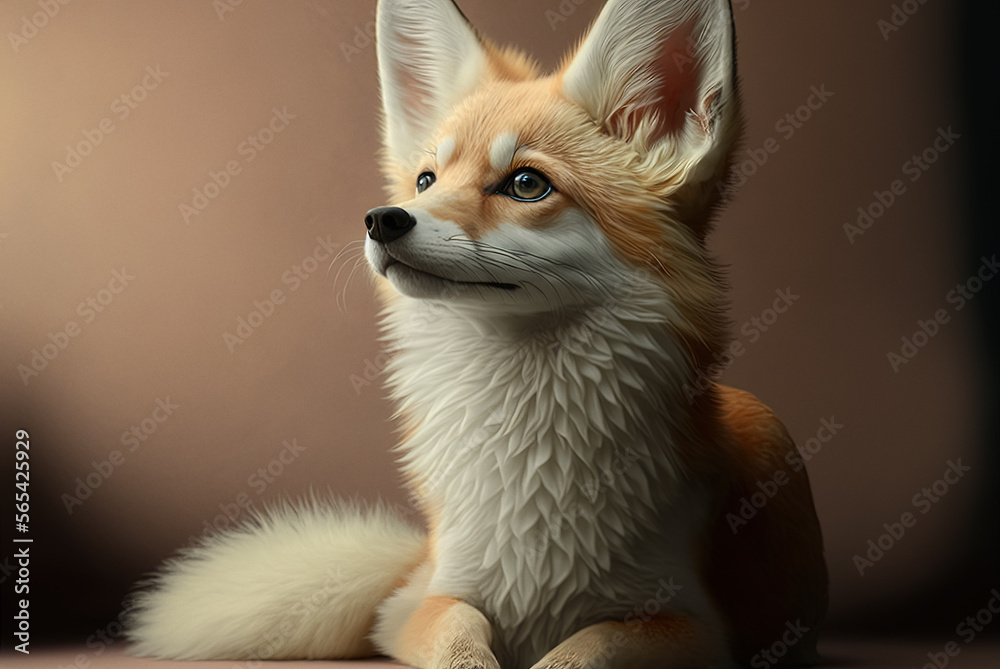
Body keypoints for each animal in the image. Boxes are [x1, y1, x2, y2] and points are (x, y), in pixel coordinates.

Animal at [127, 0, 828, 667]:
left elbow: (581, 647)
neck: (528, 456)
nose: (382, 219)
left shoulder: (696, 628)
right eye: (426, 181)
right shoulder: (420, 603)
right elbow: (463, 638)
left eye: (526, 183)